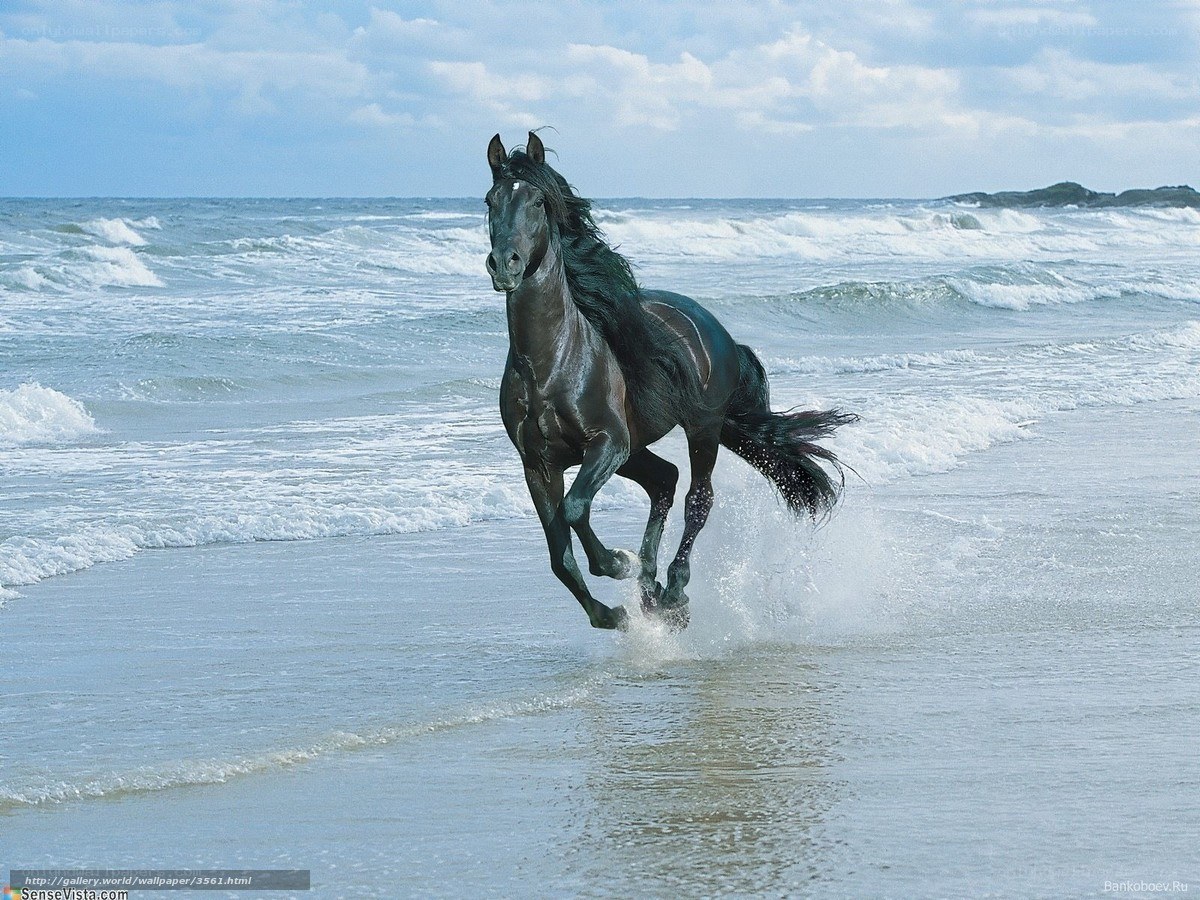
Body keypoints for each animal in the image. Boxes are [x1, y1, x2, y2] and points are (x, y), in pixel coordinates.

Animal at [485, 131, 855, 630]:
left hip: (700, 430)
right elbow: (559, 556)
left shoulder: (607, 443)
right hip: (638, 448)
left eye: (539, 202)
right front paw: (613, 612)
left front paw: (618, 563)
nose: (504, 264)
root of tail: (716, 329)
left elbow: (576, 509)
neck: (551, 364)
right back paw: (651, 589)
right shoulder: (538, 464)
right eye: (490, 201)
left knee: (698, 498)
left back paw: (673, 589)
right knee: (664, 480)